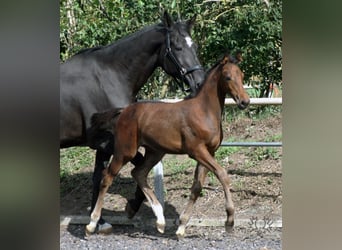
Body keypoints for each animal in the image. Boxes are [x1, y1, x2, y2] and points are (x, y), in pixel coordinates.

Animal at [60, 9, 204, 232]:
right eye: (178, 47)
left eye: (194, 46)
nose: (199, 82)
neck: (109, 77)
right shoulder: (108, 142)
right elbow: (138, 166)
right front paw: (132, 207)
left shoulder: (104, 145)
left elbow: (99, 177)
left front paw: (99, 221)